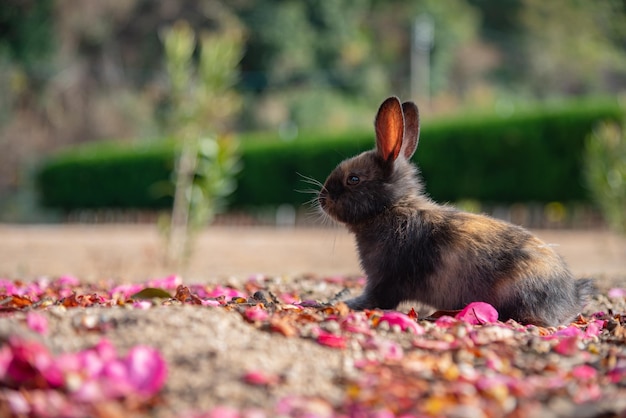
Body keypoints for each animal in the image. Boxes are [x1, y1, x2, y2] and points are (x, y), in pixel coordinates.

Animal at [320, 95, 592, 326]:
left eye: (353, 179)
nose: (322, 199)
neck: (392, 207)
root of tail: (572, 298)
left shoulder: (383, 281)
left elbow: (375, 299)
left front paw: (343, 304)